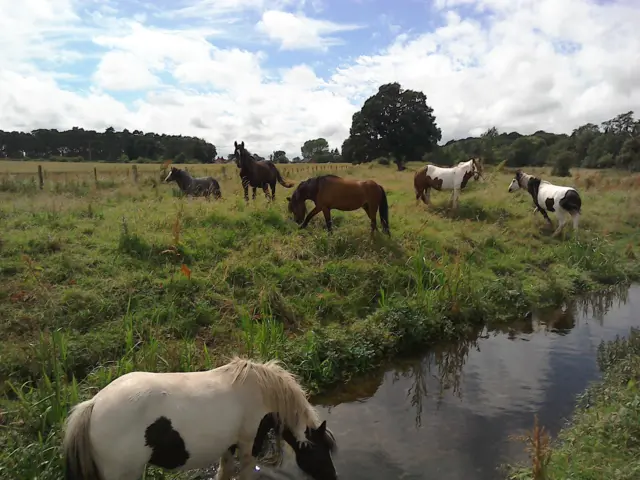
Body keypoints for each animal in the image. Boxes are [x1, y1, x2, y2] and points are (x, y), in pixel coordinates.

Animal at [62, 358, 338, 480]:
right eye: (320, 449)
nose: (333, 477)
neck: (260, 392)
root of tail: (93, 405)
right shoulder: (248, 446)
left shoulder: (228, 446)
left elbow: (224, 472)